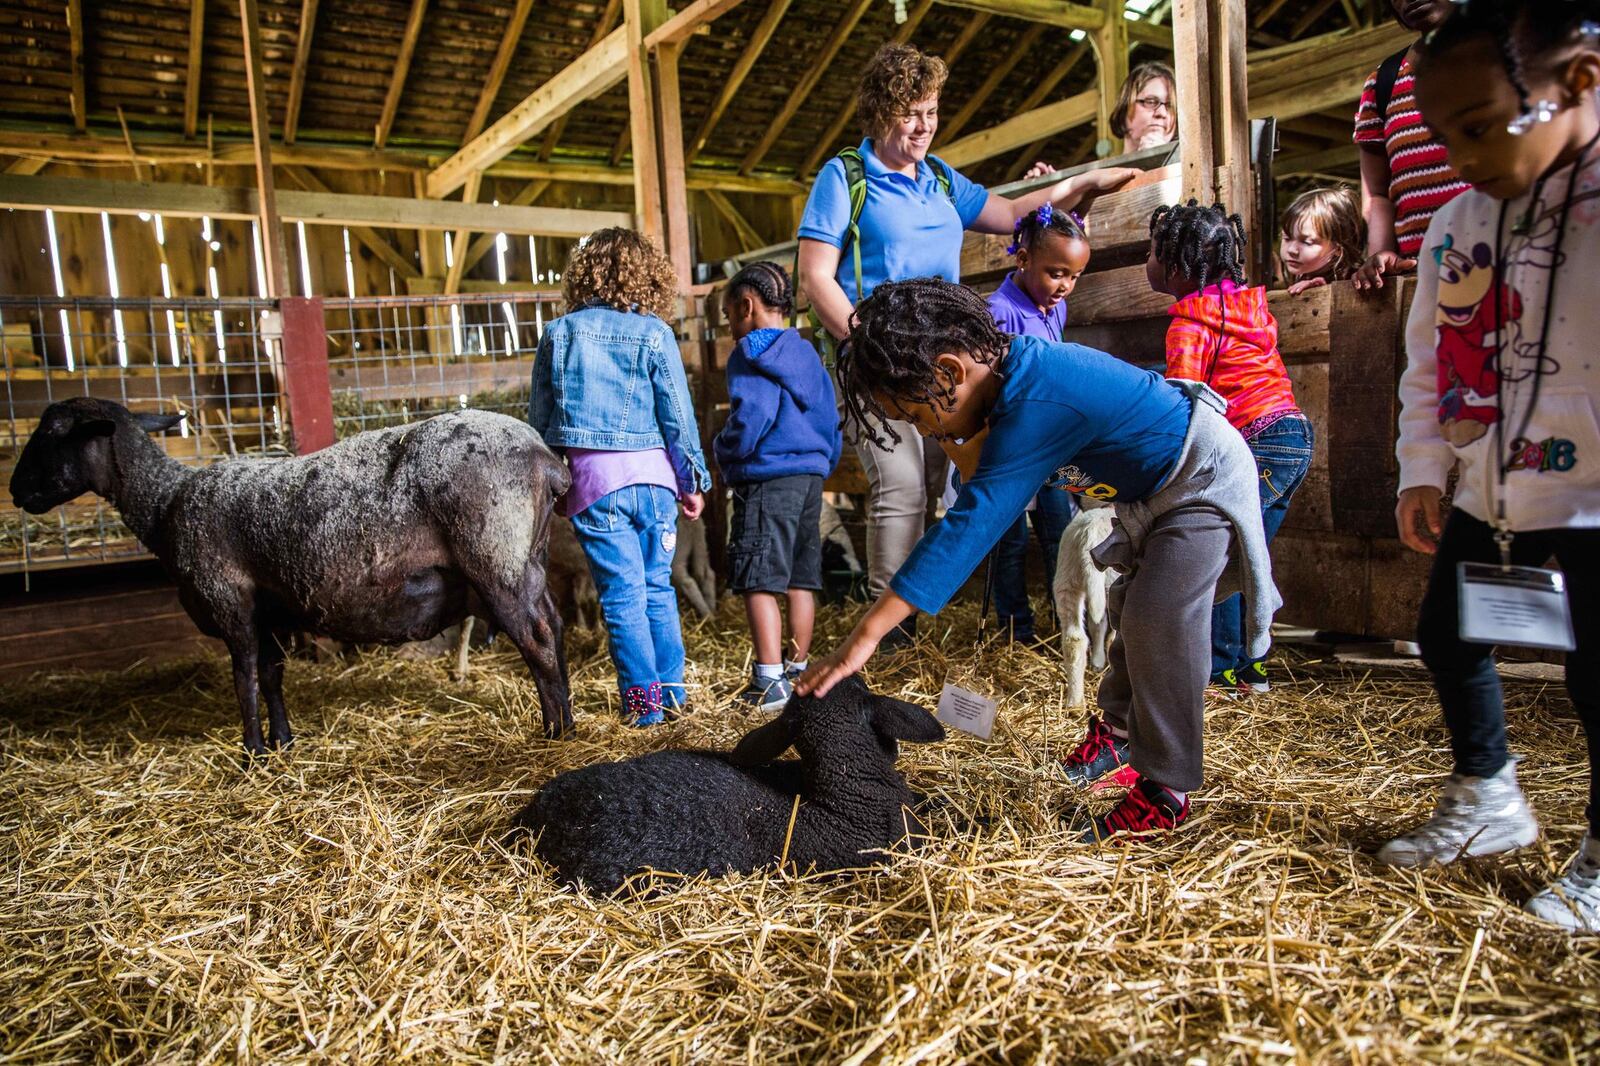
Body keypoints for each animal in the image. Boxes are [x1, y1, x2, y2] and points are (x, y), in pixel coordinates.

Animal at [9, 398, 576, 755]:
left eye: (53, 434)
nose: (15, 490)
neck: (165, 504)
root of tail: (546, 460)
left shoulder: (231, 605)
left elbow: (244, 679)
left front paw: (253, 753)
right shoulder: (272, 610)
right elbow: (272, 675)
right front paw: (282, 743)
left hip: (495, 559)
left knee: (537, 639)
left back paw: (554, 732)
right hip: (529, 559)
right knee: (555, 625)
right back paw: (567, 718)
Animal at [1056, 505, 1120, 704]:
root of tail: (1091, 531)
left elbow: (1097, 625)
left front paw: (1097, 661)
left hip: (1067, 579)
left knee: (1074, 639)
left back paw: (1074, 703)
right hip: (1112, 581)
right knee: (1114, 638)